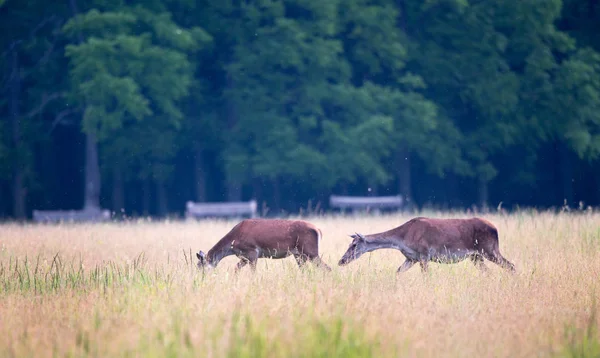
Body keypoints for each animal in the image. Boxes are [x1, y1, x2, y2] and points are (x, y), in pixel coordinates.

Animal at [197, 217, 330, 272]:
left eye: (200, 266)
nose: (199, 280)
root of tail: (318, 229)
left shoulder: (252, 251)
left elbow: (253, 272)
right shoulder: (244, 257)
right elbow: (236, 269)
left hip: (310, 251)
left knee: (327, 268)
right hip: (299, 254)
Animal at [340, 217, 512, 272]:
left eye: (354, 245)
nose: (341, 260)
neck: (402, 240)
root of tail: (495, 229)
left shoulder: (424, 254)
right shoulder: (411, 258)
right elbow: (397, 272)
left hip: (489, 249)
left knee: (510, 265)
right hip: (476, 256)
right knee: (488, 271)